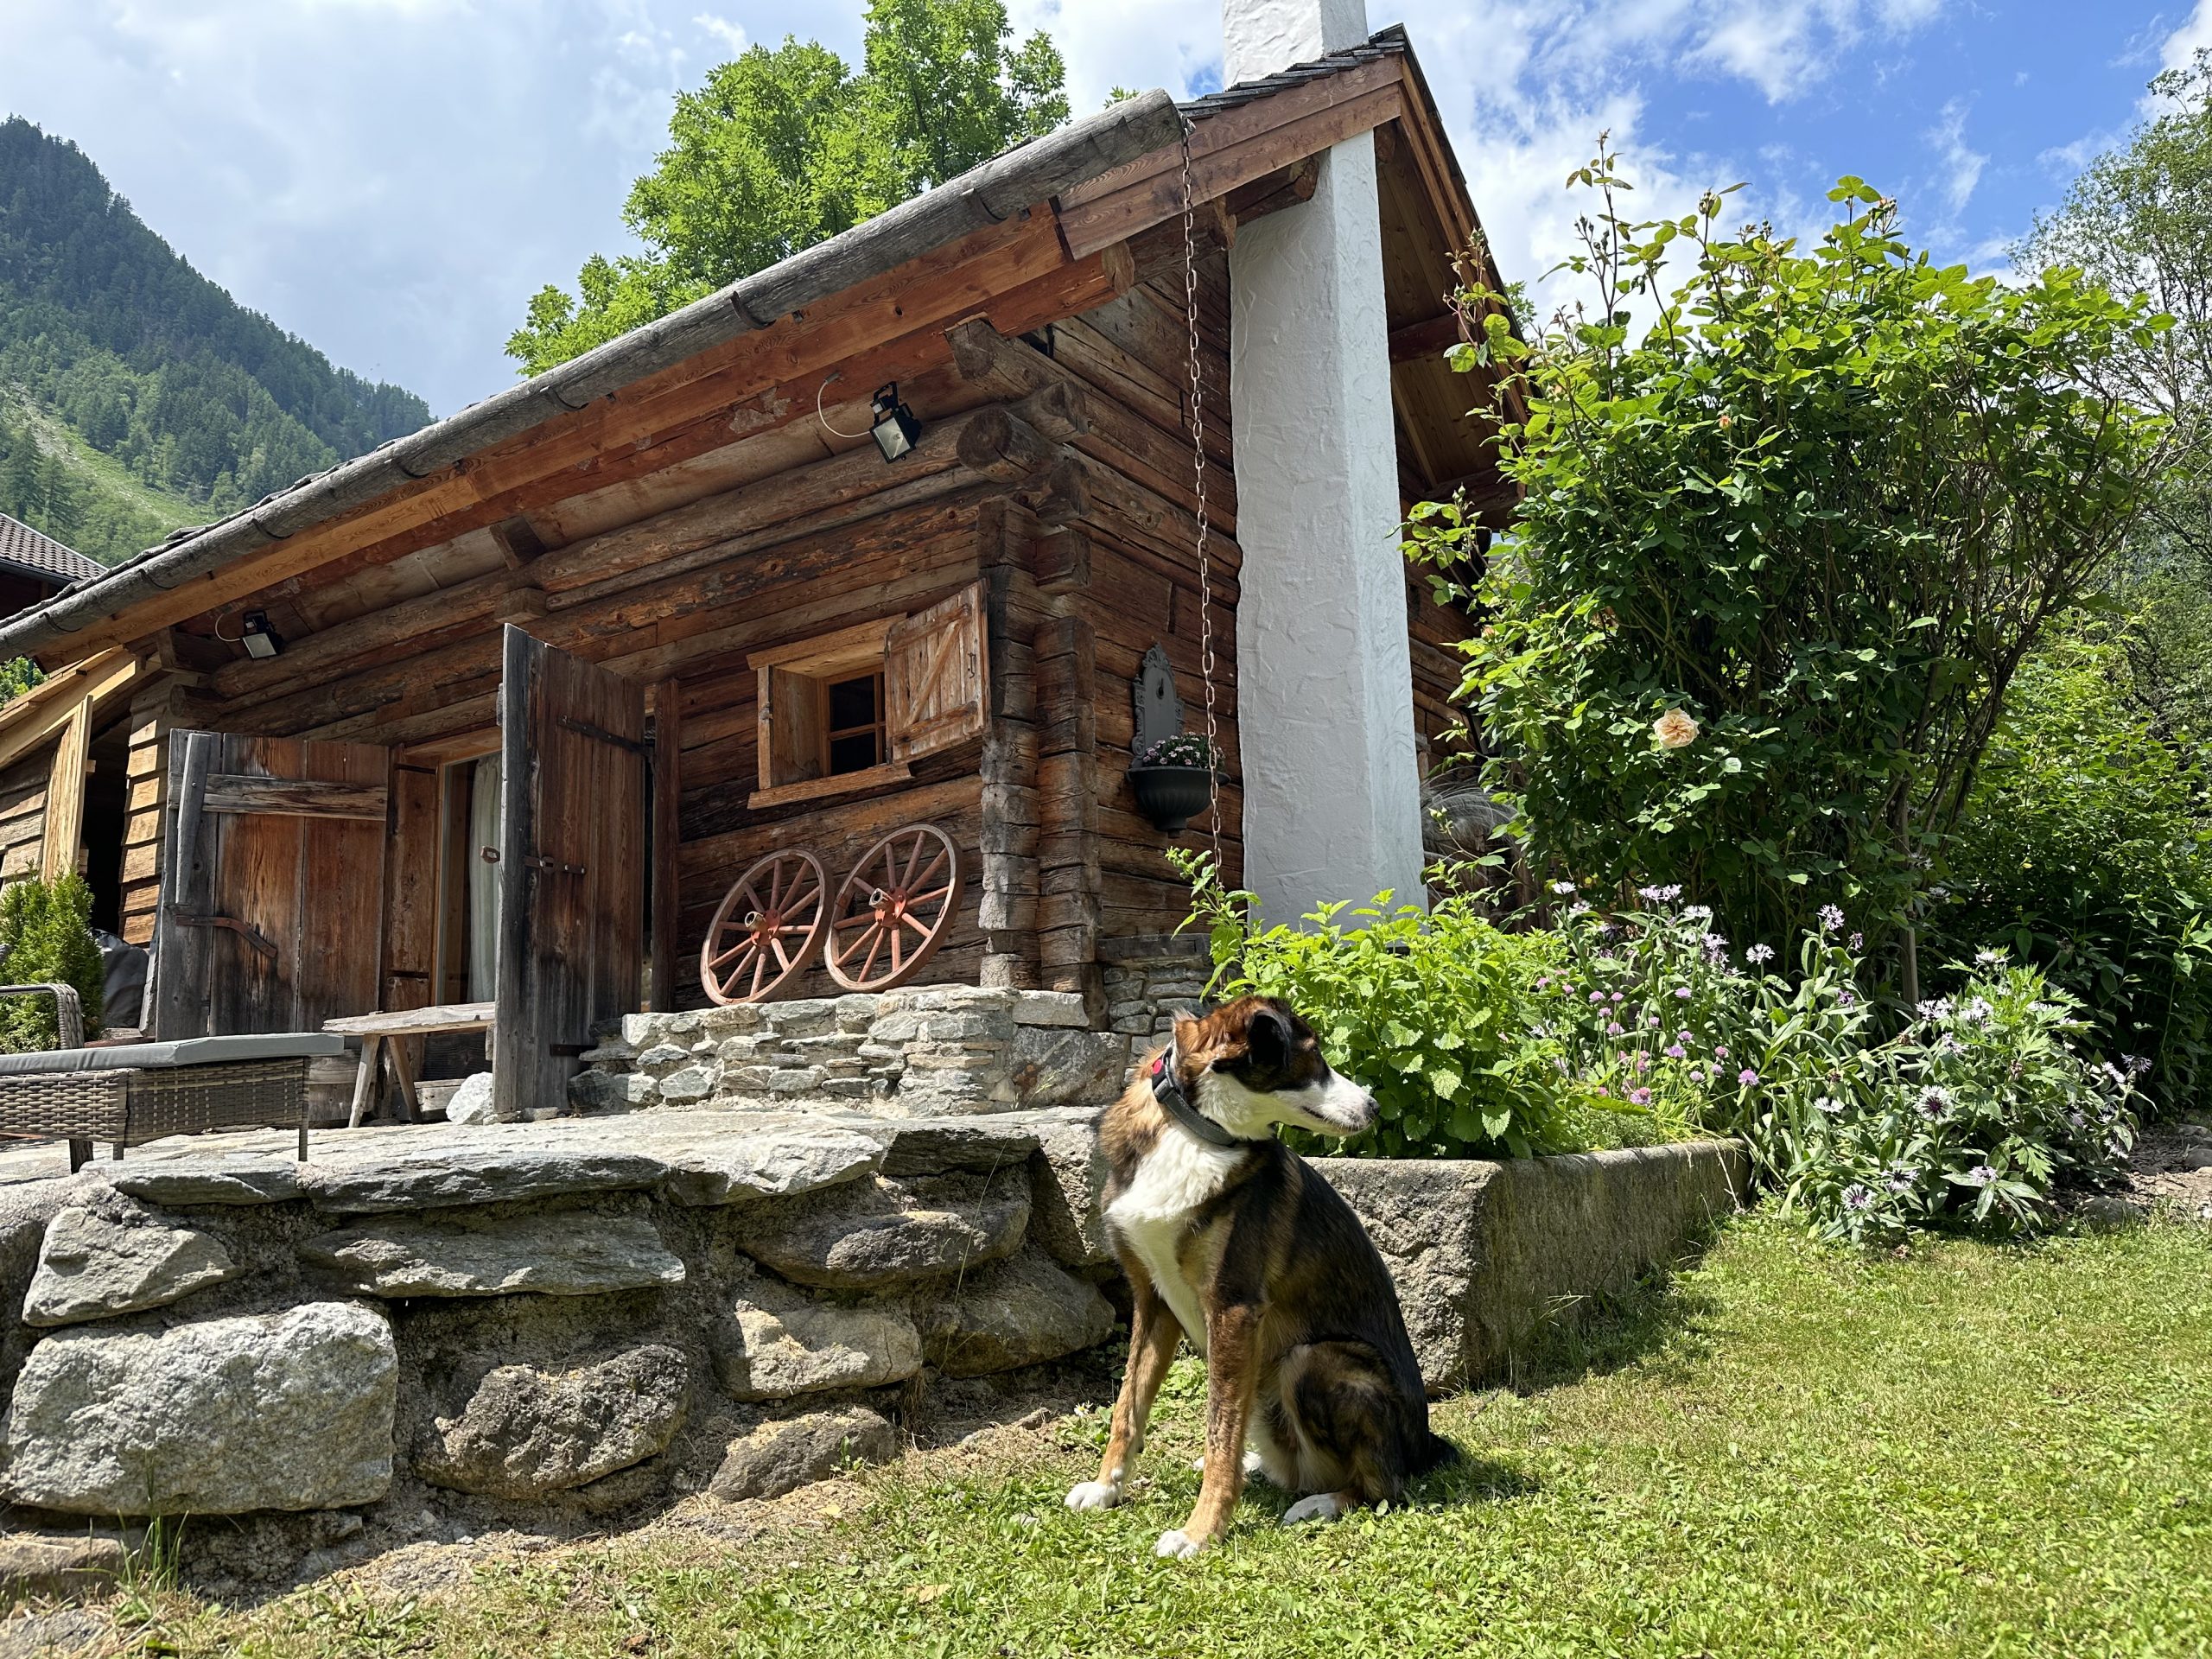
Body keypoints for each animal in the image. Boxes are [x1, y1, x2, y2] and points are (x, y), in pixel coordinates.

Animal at [1065, 1000, 1459, 1557]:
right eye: (1313, 1056)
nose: (1375, 1108)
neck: (1195, 1130)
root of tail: (1424, 1445)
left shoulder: (1233, 1308)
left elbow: (1220, 1429)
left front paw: (1199, 1532)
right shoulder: (1153, 1301)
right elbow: (1129, 1408)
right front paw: (1105, 1487)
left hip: (1315, 1360)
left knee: (1385, 1486)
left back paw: (1320, 1504)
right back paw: (1263, 1469)